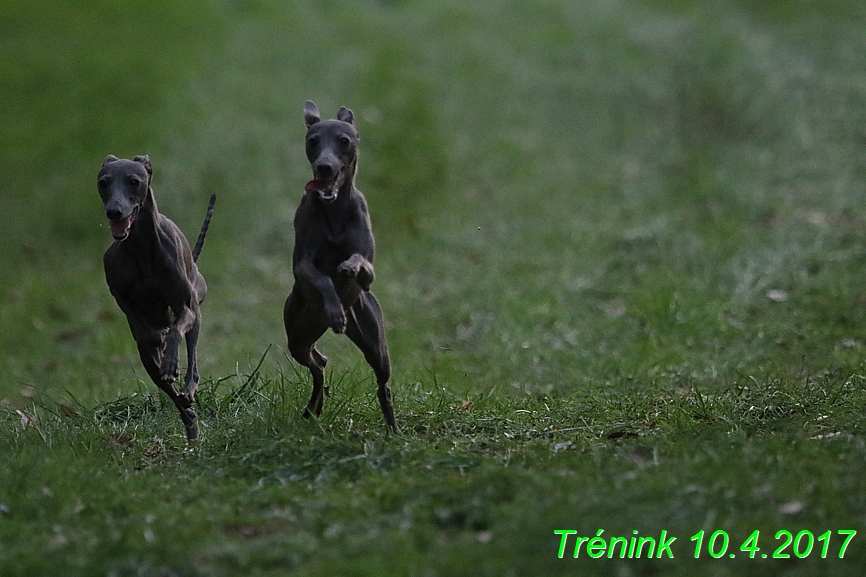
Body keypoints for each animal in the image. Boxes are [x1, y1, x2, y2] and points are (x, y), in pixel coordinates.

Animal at [98, 155, 215, 438]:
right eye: (103, 182)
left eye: (134, 181)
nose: (114, 212)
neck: (141, 246)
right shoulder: (122, 299)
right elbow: (142, 327)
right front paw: (159, 347)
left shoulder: (185, 309)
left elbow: (176, 331)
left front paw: (171, 361)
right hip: (146, 358)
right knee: (171, 391)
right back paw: (189, 419)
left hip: (197, 311)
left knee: (192, 362)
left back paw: (185, 385)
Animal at [284, 100, 398, 432]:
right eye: (313, 141)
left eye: (344, 141)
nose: (324, 166)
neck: (333, 208)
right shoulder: (303, 266)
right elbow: (321, 279)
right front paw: (334, 309)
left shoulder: (369, 263)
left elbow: (361, 263)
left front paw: (348, 269)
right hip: (298, 337)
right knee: (318, 365)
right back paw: (314, 406)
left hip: (375, 345)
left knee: (382, 384)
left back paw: (393, 427)